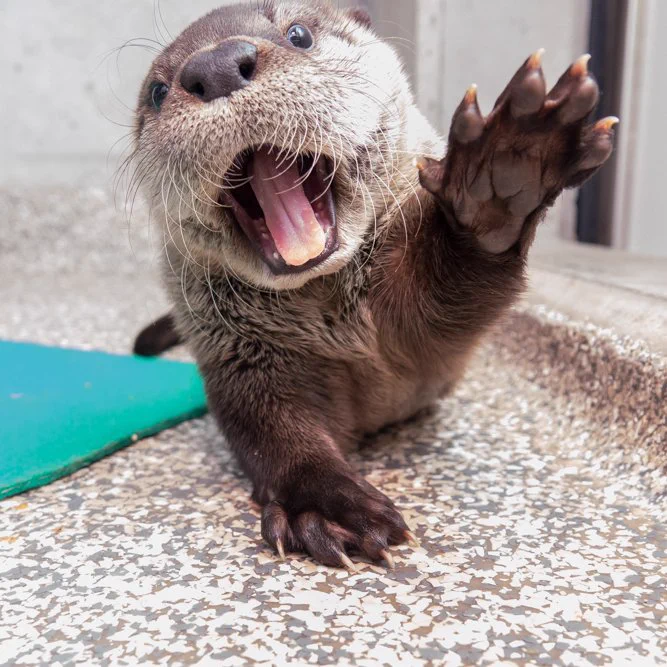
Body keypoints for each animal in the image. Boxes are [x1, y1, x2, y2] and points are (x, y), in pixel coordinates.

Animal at [129, 0, 617, 569]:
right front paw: (326, 506)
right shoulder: (234, 352)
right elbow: (270, 430)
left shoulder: (421, 336)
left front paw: (506, 169)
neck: (334, 324)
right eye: (157, 91)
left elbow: (444, 302)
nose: (218, 65)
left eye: (298, 33)